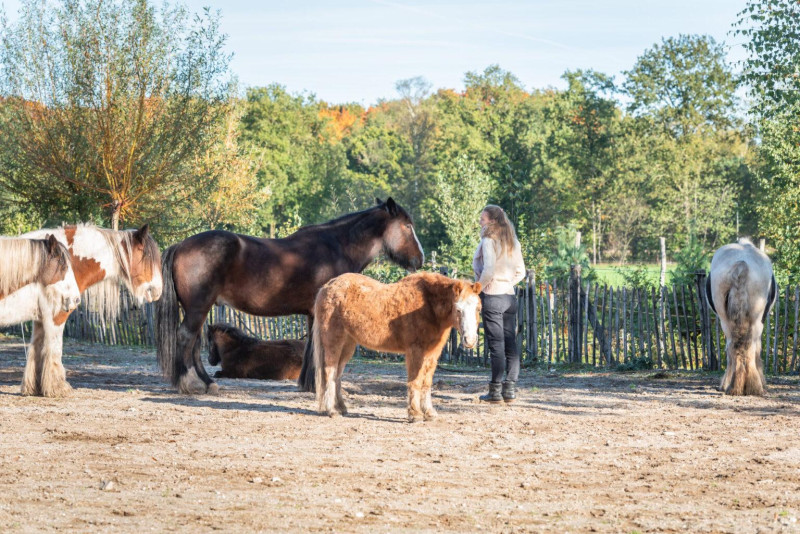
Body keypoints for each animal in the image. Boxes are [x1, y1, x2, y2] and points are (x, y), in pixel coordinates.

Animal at [21, 224, 162, 396]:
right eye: (147, 256)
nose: (158, 290)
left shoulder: (41, 318)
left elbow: (36, 348)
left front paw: (33, 387)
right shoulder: (56, 315)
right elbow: (53, 348)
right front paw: (56, 387)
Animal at [156, 198, 424, 395]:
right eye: (407, 226)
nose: (419, 260)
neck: (337, 247)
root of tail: (180, 246)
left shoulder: (312, 314)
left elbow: (312, 348)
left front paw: (308, 385)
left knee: (193, 343)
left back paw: (206, 383)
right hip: (198, 307)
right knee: (186, 339)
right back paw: (192, 384)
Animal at [313, 272, 482, 422]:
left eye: (478, 308)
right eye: (458, 309)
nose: (470, 340)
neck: (428, 305)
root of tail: (326, 286)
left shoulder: (432, 353)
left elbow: (426, 382)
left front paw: (429, 413)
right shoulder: (415, 351)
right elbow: (415, 381)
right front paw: (415, 414)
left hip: (348, 344)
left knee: (338, 374)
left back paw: (342, 408)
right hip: (334, 342)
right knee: (330, 372)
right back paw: (332, 410)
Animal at [706, 239, 777, 396]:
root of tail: (741, 265)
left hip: (726, 319)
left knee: (733, 346)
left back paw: (734, 385)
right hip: (756, 319)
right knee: (748, 346)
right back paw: (752, 386)